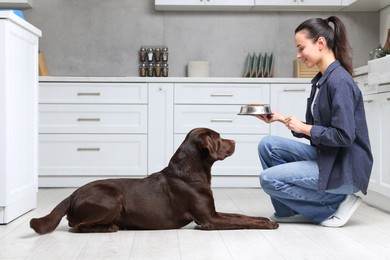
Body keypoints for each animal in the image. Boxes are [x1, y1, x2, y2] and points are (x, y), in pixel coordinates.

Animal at [32, 127, 278, 234]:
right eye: (218, 138)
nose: (235, 141)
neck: (190, 172)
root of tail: (71, 194)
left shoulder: (213, 212)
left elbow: (241, 216)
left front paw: (262, 219)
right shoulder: (209, 219)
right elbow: (242, 222)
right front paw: (268, 224)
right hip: (113, 197)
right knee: (76, 226)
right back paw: (110, 227)